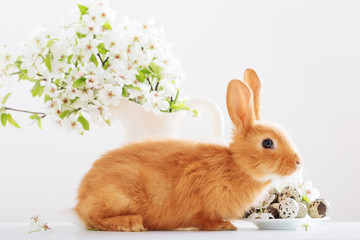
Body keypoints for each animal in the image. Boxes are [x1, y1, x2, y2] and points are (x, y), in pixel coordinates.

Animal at [74, 68, 302, 232]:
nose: (298, 163)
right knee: (94, 218)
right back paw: (131, 223)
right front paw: (224, 226)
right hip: (119, 195)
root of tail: (81, 198)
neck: (236, 165)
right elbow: (203, 220)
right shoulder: (201, 206)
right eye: (268, 143)